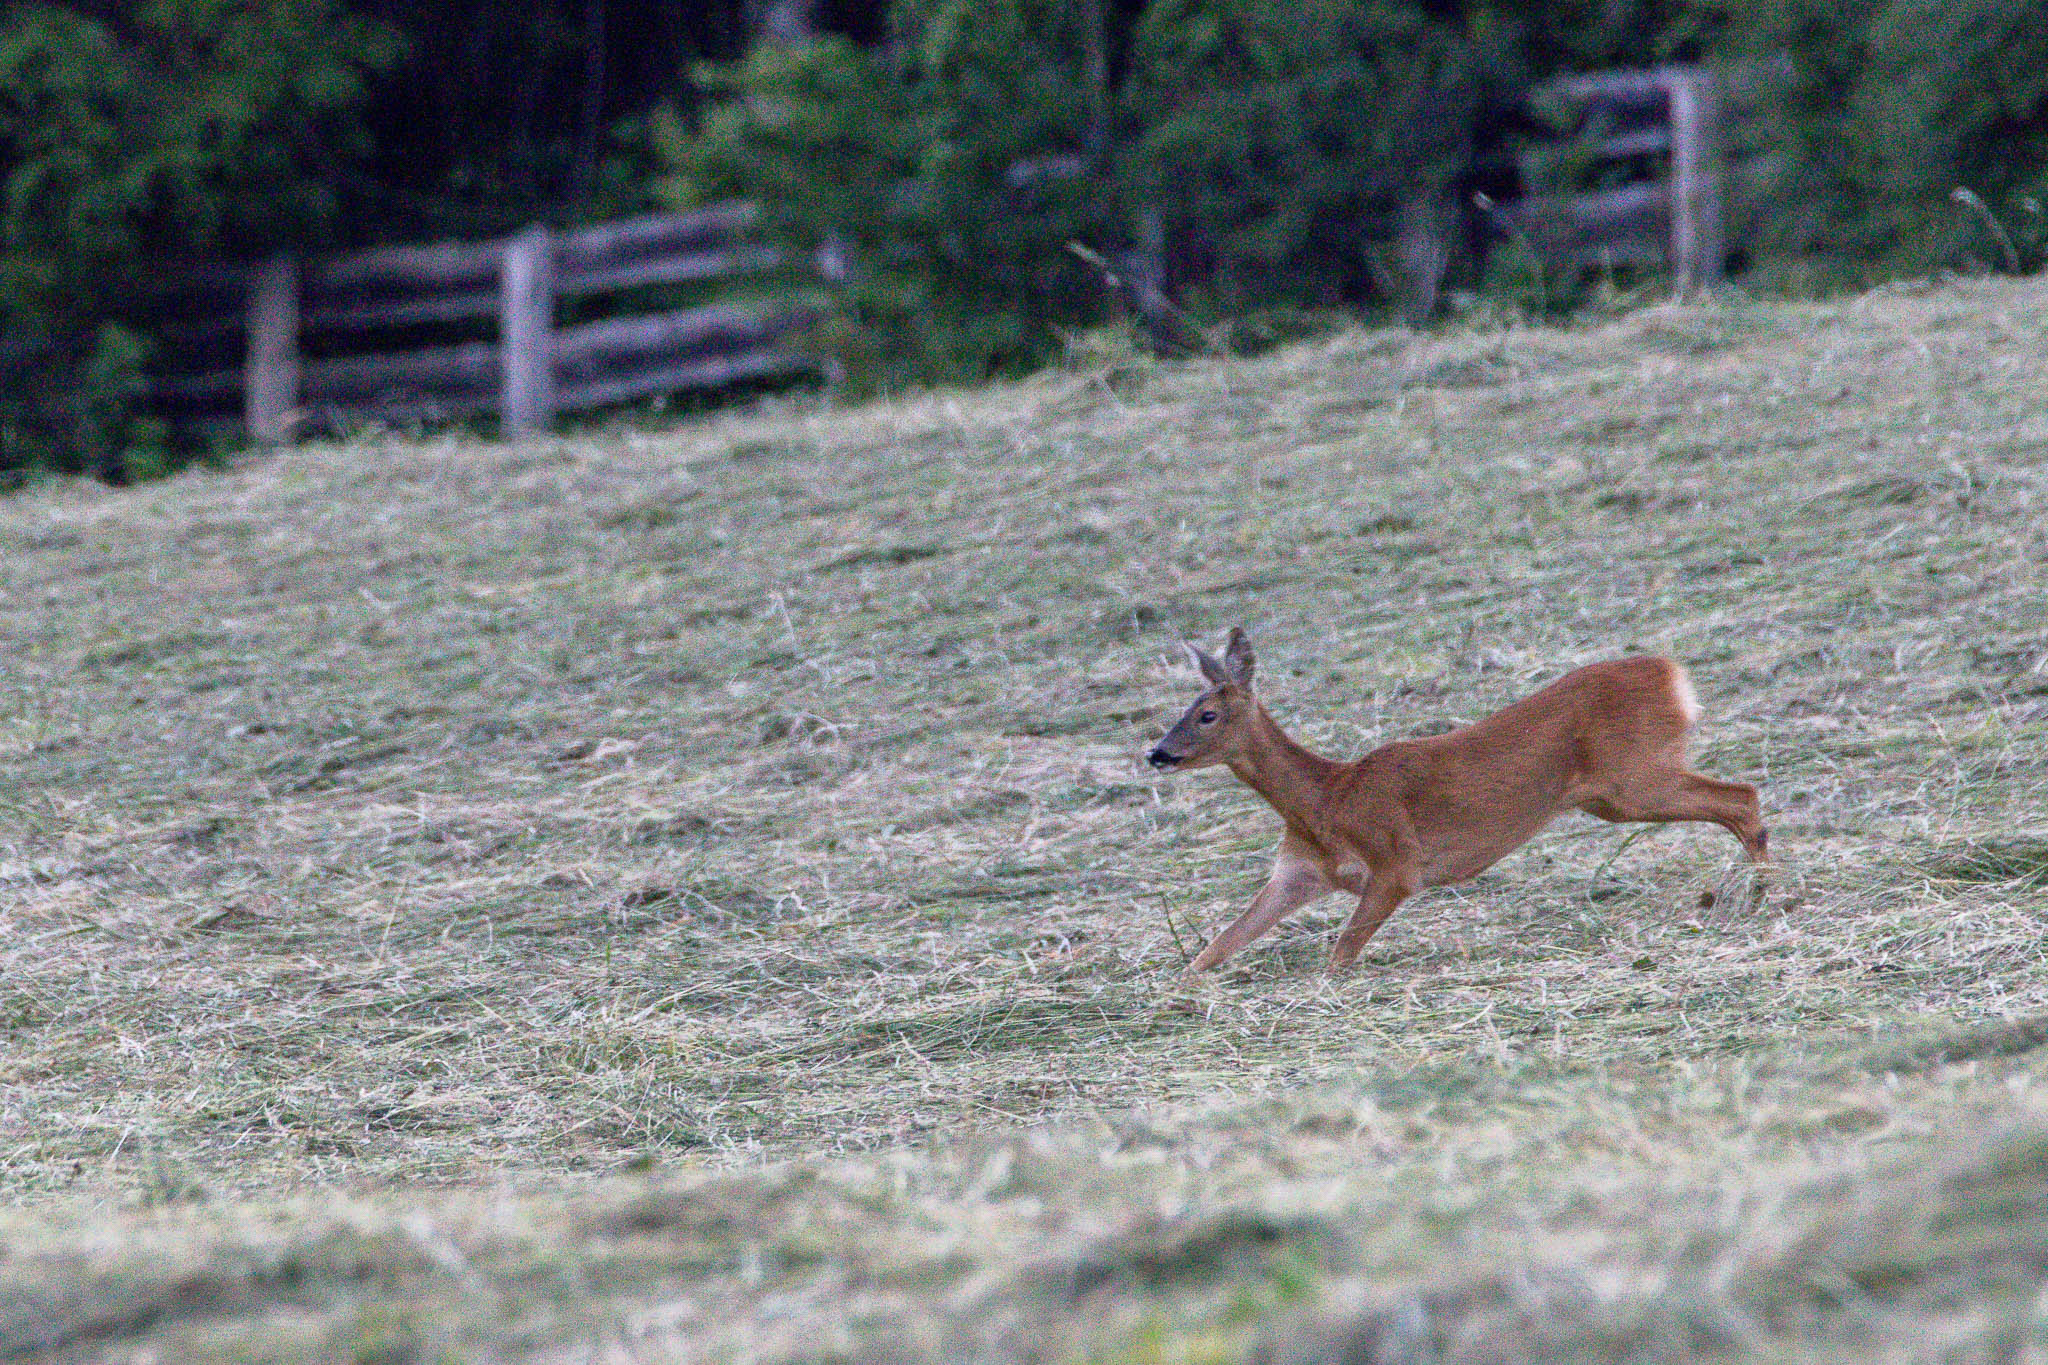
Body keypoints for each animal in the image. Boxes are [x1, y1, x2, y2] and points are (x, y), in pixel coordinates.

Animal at [1147, 628, 1768, 975]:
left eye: (1207, 715)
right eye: (1184, 708)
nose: (1158, 753)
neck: (1327, 797)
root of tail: (1673, 674)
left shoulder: (1397, 862)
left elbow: (1340, 952)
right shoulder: (1297, 873)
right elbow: (1220, 943)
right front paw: (1173, 992)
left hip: (1631, 779)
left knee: (1742, 795)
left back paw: (1764, 891)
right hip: (1619, 791)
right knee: (1739, 799)